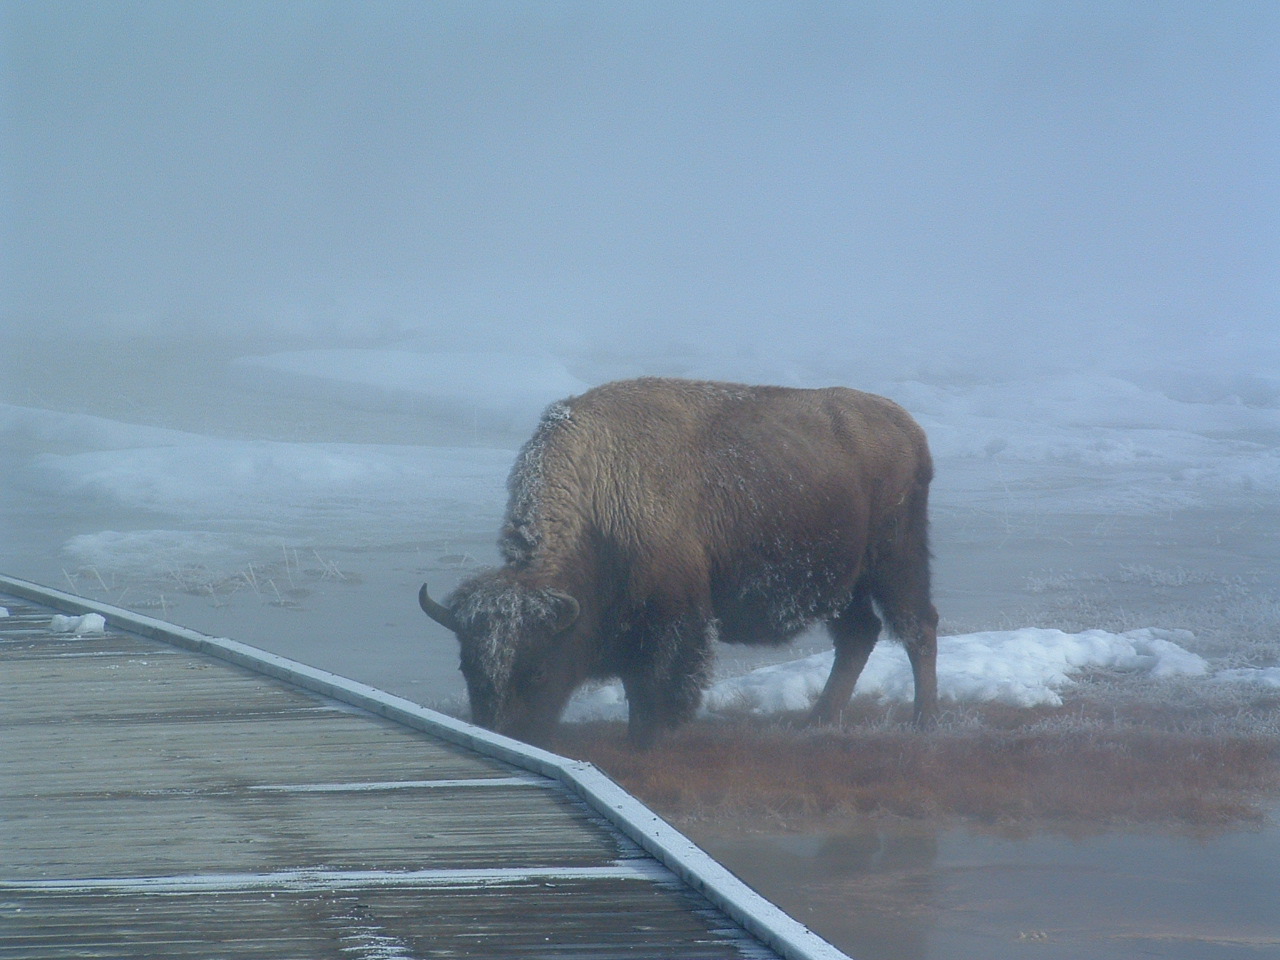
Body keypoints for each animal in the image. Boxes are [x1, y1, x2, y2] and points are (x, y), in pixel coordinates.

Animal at [424, 378, 936, 752]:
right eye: (469, 670)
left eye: (538, 672)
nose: (505, 737)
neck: (600, 494)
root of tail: (909, 429)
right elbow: (637, 683)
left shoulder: (672, 617)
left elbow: (656, 682)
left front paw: (649, 738)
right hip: (844, 584)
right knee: (858, 636)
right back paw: (817, 722)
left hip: (895, 561)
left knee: (917, 629)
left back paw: (921, 722)